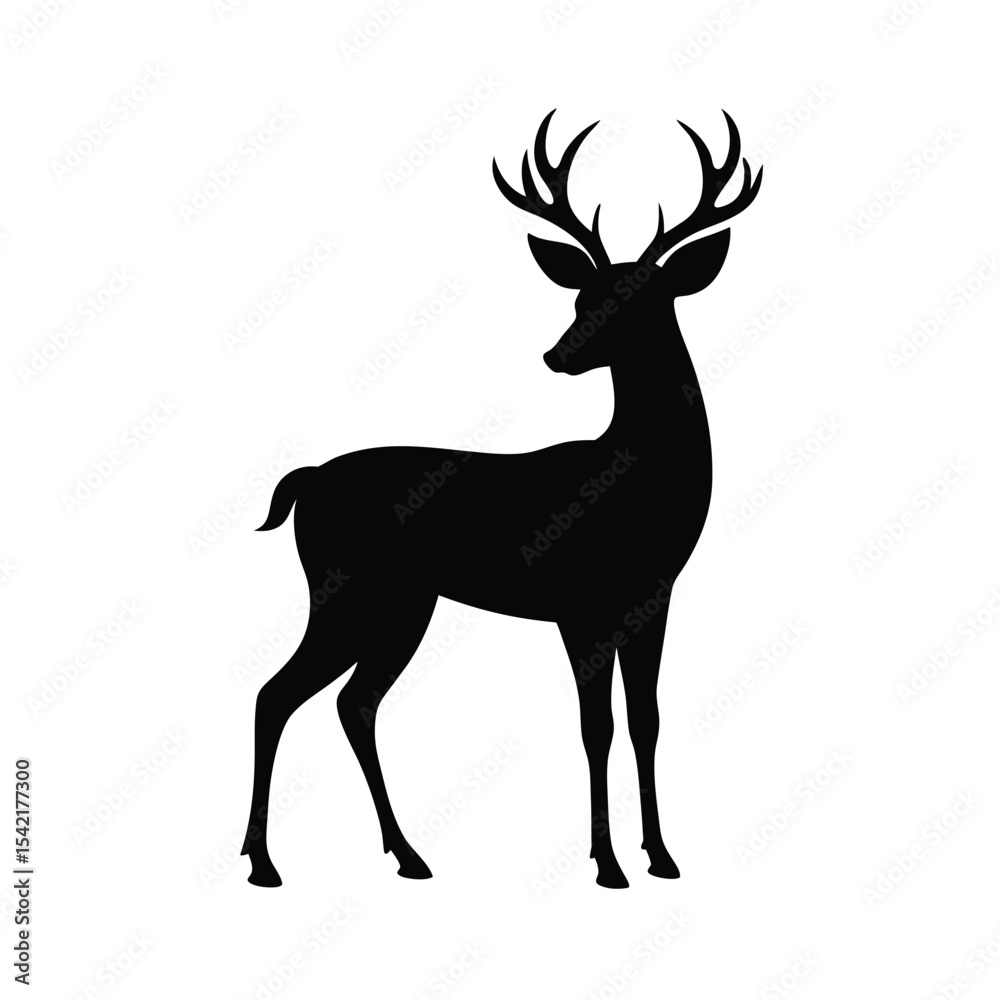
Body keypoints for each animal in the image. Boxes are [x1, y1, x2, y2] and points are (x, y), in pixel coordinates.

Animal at [241, 109, 762, 889]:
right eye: (581, 296)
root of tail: (306, 481)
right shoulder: (581, 602)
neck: (640, 487)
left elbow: (646, 720)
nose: (558, 354)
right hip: (345, 588)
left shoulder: (654, 596)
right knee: (277, 693)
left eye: (641, 299)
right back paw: (265, 864)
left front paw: (663, 856)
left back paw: (407, 855)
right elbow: (597, 727)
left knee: (352, 701)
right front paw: (608, 864)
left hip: (403, 602)